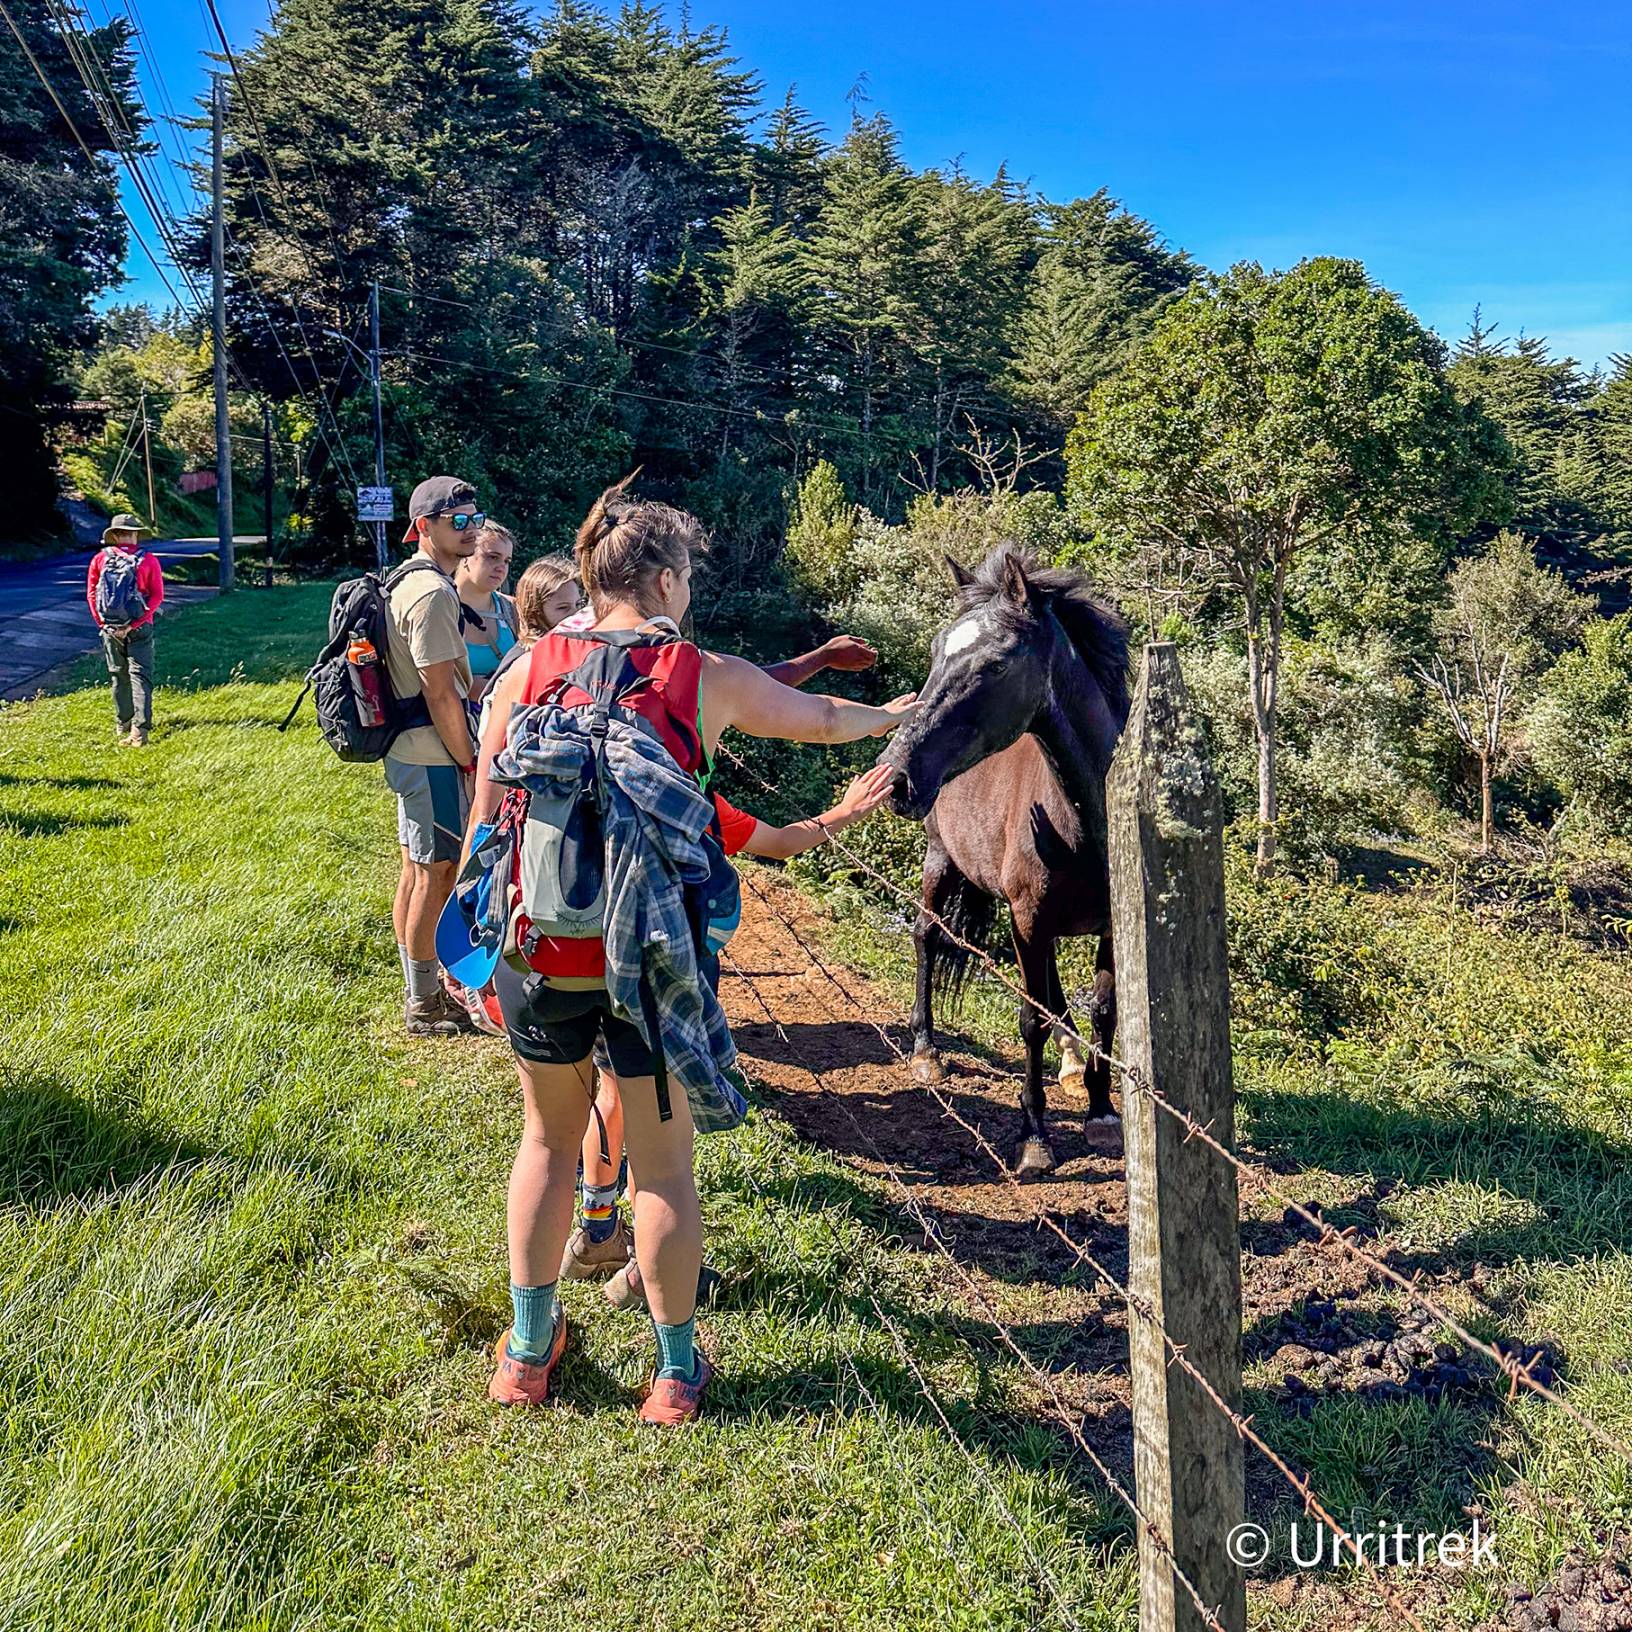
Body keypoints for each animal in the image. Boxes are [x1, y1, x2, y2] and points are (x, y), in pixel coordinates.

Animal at [881, 545, 1135, 1175]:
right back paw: (926, 1051)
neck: (1083, 822)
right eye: (936, 651)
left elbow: (1104, 1012)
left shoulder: (1107, 926)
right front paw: (1034, 1138)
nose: (895, 777)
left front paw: (1101, 1111)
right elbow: (1029, 1020)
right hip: (941, 862)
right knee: (927, 935)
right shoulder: (1027, 918)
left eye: (996, 665)